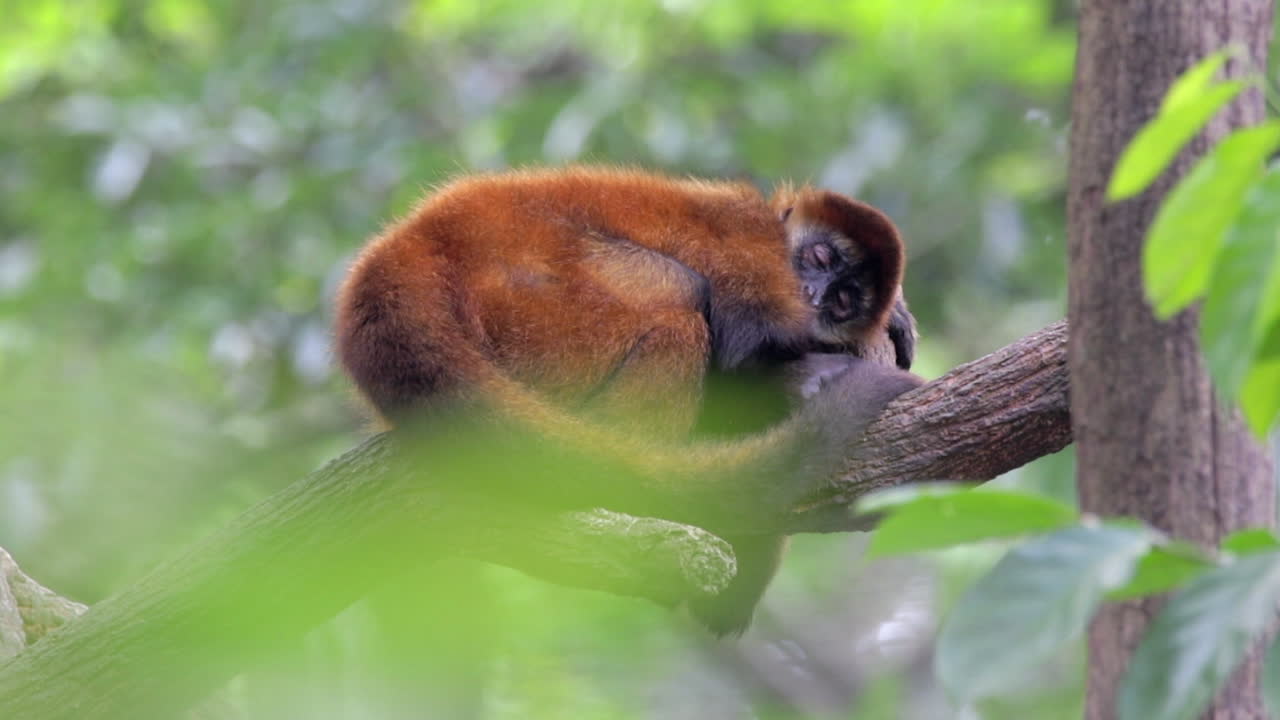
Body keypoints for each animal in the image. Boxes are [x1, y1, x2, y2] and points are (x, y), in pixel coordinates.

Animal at [334, 166, 923, 635]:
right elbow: (739, 348)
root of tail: (410, 245)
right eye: (819, 257)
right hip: (529, 309)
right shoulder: (749, 242)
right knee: (680, 296)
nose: (813, 296)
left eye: (844, 299)